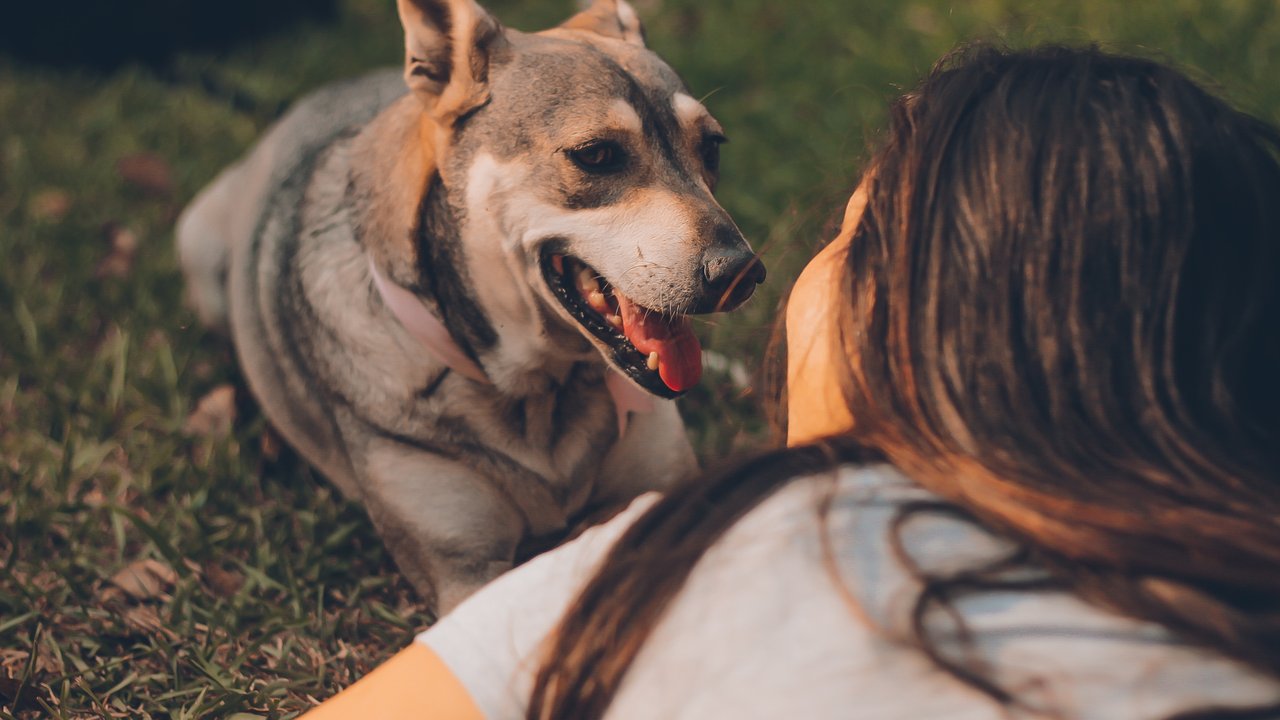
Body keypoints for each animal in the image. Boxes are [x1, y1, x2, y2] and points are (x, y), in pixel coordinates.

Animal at [175, 0, 762, 609]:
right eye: (596, 154)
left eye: (712, 148)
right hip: (197, 242)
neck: (537, 391)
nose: (741, 273)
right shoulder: (462, 567)